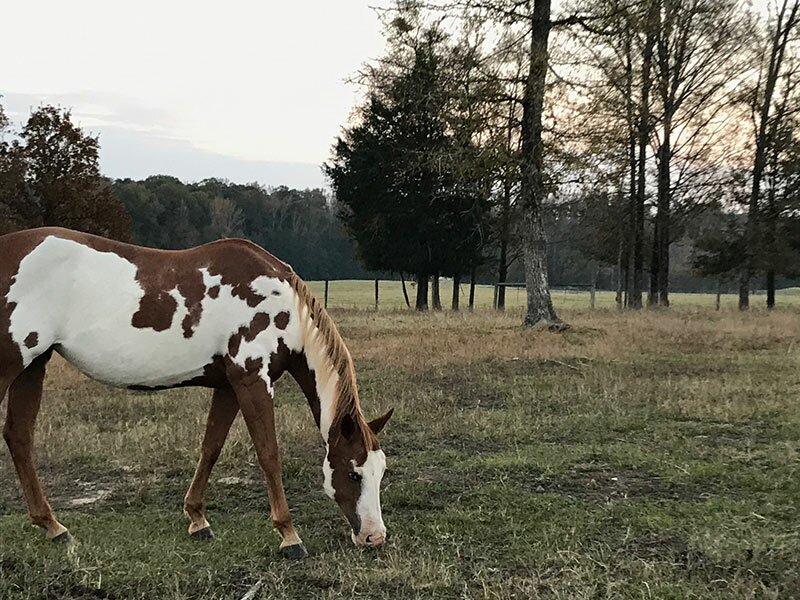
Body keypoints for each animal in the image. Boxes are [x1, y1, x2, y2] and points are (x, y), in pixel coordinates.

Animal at [0, 227, 393, 559]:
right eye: (353, 473)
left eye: (382, 471)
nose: (374, 536)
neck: (280, 302)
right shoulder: (252, 380)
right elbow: (269, 454)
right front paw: (289, 535)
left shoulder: (229, 385)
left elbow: (211, 447)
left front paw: (197, 519)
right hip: (12, 364)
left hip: (33, 365)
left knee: (19, 437)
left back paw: (54, 527)